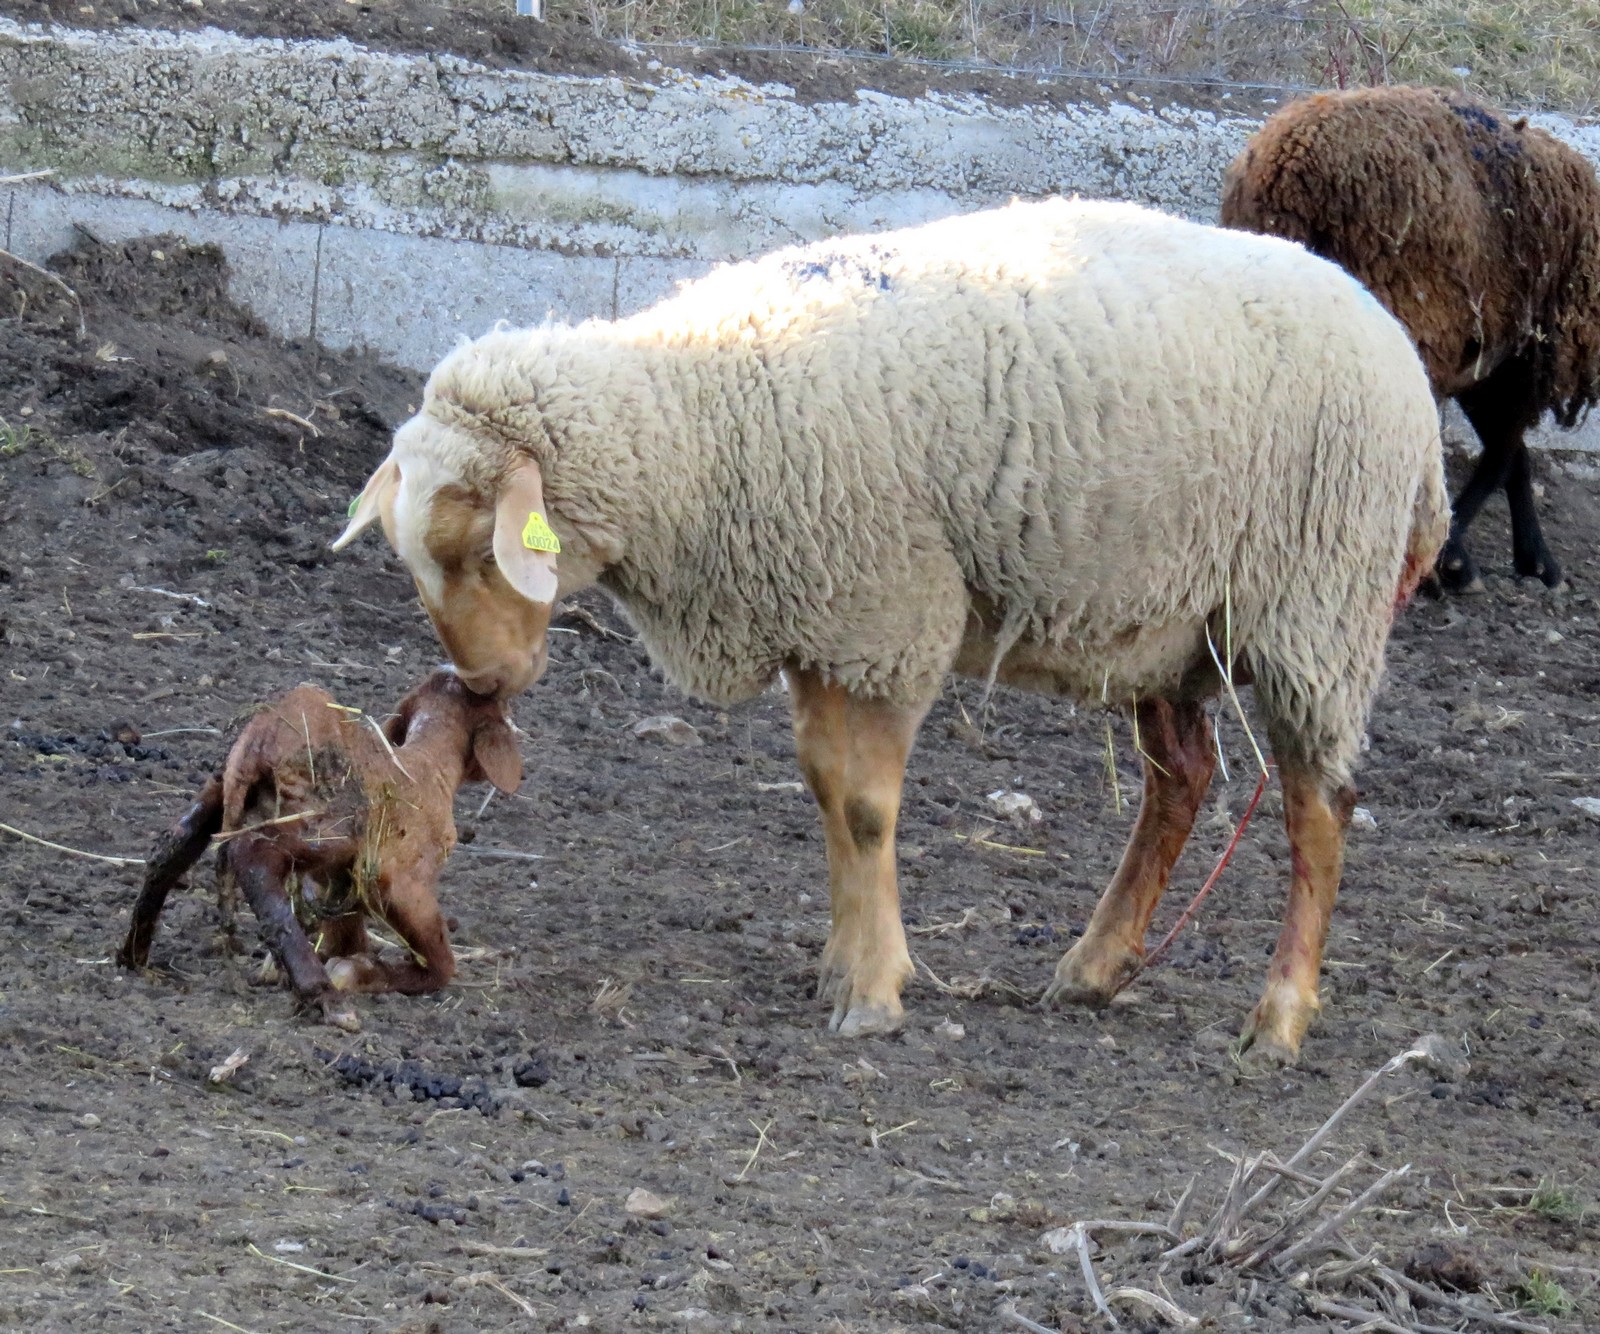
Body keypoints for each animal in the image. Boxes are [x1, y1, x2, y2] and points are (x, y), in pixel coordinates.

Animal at [120, 674, 518, 1030]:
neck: (429, 768)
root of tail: (258, 736)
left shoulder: (342, 879)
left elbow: (346, 932)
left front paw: (331, 960)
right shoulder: (398, 879)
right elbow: (440, 962)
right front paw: (354, 972)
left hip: (221, 791)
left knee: (173, 845)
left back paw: (134, 954)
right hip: (320, 823)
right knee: (254, 859)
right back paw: (323, 995)